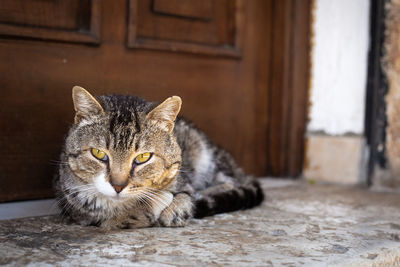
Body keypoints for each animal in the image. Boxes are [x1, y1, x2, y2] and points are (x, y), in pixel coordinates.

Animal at [54, 87, 266, 229]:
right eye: (98, 154)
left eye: (143, 157)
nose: (118, 186)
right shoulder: (75, 207)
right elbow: (115, 219)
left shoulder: (183, 179)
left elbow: (184, 196)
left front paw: (174, 206)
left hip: (206, 156)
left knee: (232, 182)